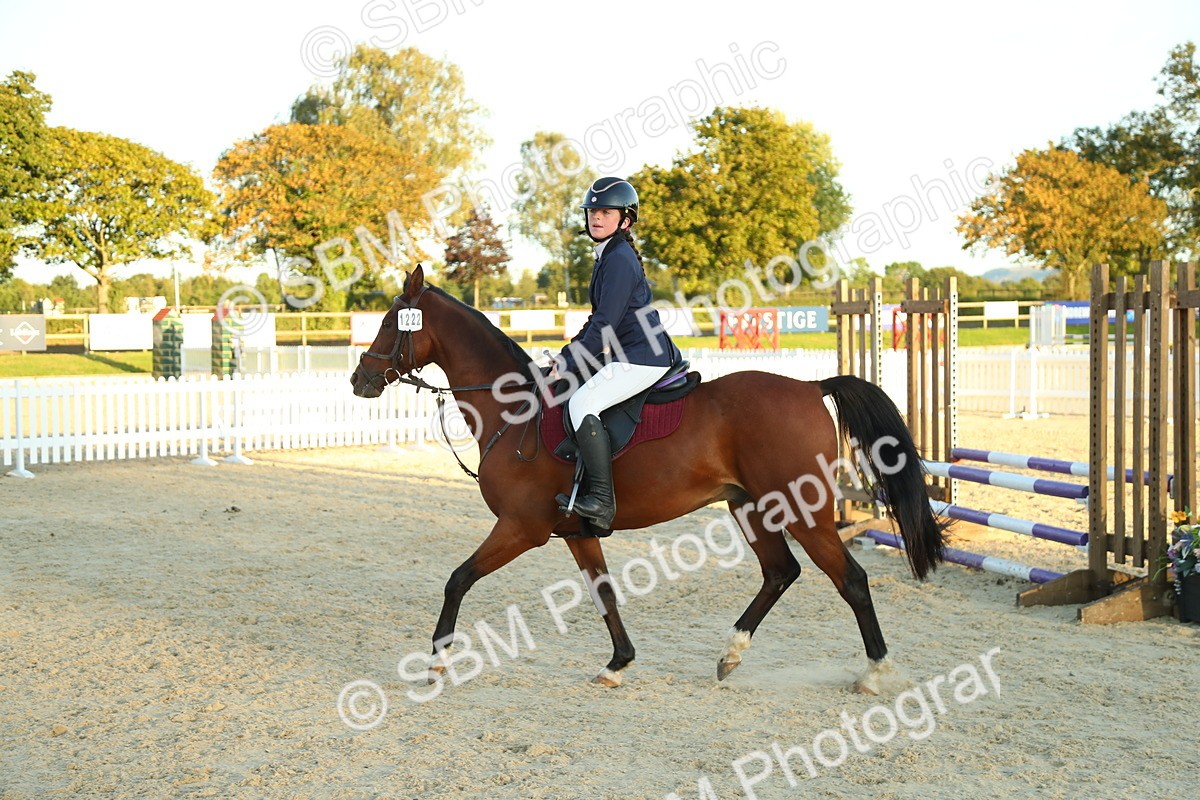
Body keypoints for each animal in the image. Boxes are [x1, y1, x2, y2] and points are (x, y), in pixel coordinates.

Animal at [350, 265, 946, 692]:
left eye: (390, 323)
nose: (359, 380)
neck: (514, 412)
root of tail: (808, 386)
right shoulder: (577, 532)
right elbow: (605, 594)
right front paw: (618, 663)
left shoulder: (522, 528)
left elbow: (457, 579)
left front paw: (437, 661)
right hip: (751, 506)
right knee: (781, 572)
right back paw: (730, 655)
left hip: (802, 509)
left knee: (851, 581)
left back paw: (876, 673)